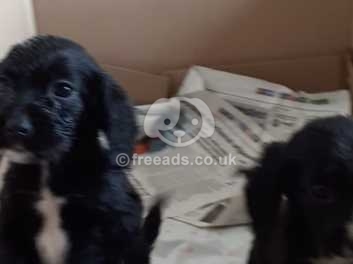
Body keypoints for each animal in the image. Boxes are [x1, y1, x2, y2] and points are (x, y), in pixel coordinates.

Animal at [0, 35, 162, 264]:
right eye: (4, 83)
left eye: (63, 90)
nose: (13, 126)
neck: (49, 173)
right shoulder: (12, 225)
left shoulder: (97, 233)